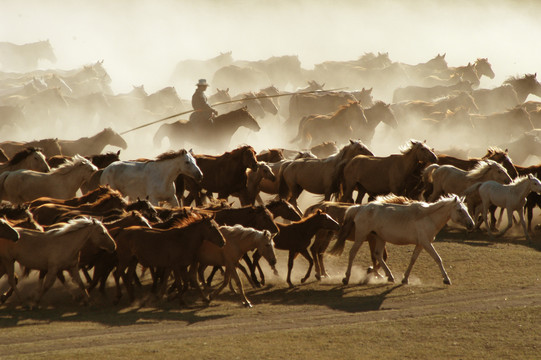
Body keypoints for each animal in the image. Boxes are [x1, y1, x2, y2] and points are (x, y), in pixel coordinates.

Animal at [330, 195, 472, 286]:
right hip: (361, 236)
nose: (471, 224)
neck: (428, 217)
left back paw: (390, 276)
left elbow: (413, 260)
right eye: (460, 210)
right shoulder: (426, 243)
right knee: (352, 253)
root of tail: (360, 208)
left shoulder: (420, 244)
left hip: (380, 238)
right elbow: (437, 258)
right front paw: (446, 279)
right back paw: (346, 278)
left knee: (378, 254)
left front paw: (405, 279)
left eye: (466, 209)